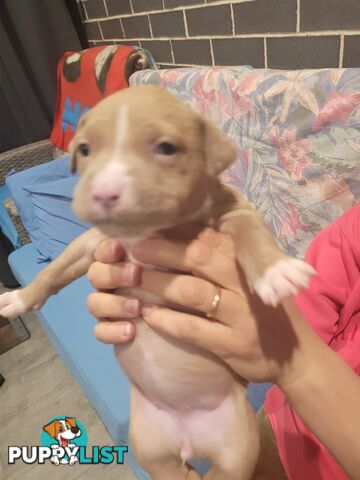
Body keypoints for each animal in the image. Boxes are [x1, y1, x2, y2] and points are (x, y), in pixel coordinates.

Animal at [0, 86, 316, 480]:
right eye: (84, 150)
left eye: (166, 148)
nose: (104, 192)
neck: (147, 230)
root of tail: (189, 440)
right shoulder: (93, 242)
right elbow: (55, 270)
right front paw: (21, 299)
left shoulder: (234, 211)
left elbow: (251, 233)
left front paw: (276, 270)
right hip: (150, 444)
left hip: (239, 445)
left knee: (223, 471)